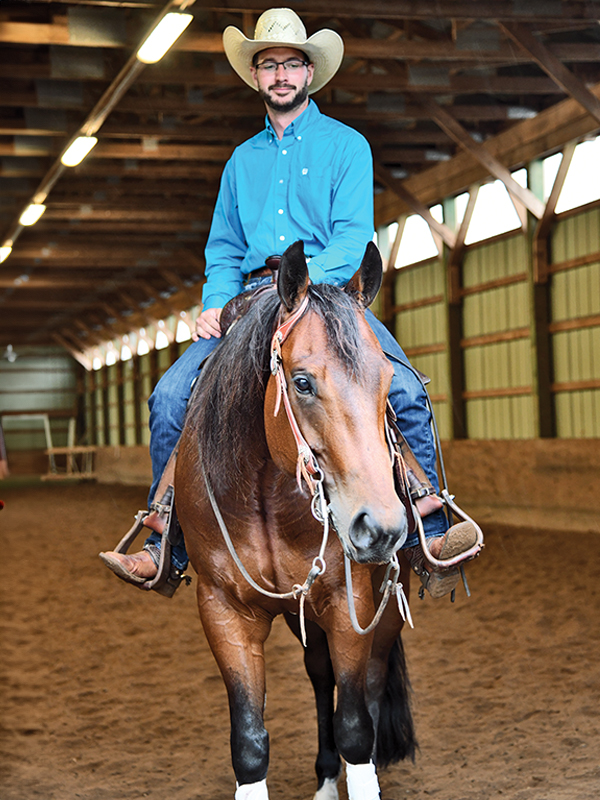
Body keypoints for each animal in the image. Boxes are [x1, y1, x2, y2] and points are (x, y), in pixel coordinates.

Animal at [175, 241, 418, 796]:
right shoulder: (223, 609)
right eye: (302, 382)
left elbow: (356, 728)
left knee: (370, 685)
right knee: (320, 673)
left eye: (388, 380)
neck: (264, 492)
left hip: (384, 606)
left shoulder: (350, 600)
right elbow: (249, 745)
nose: (381, 527)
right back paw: (325, 777)